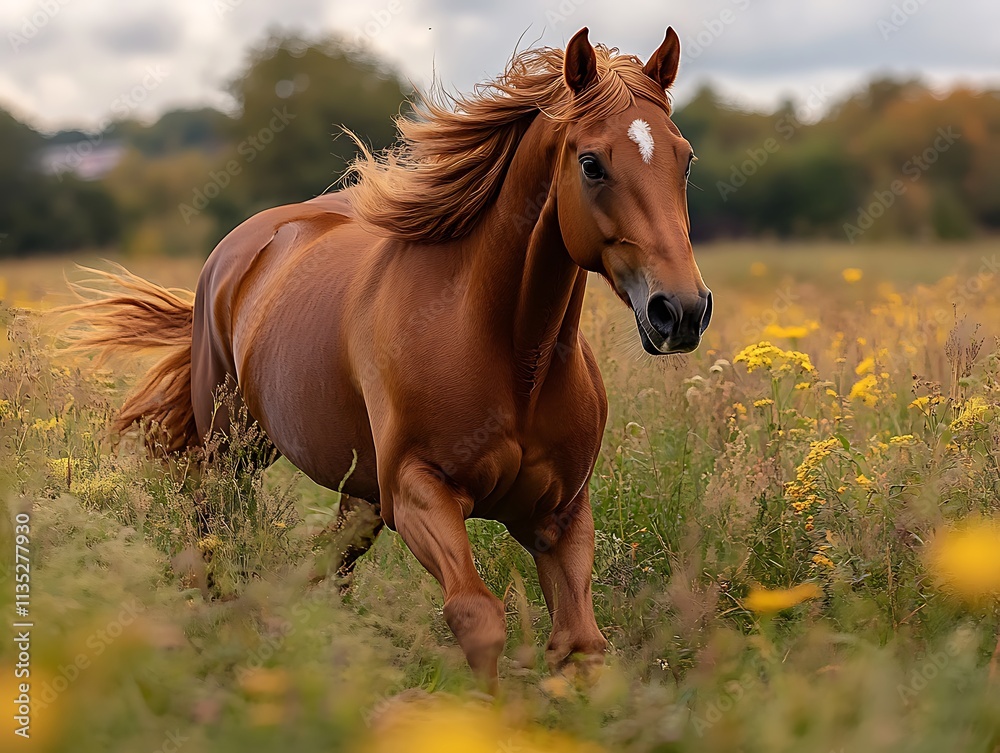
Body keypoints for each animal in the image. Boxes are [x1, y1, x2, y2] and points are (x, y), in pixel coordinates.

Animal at [68, 26, 711, 689]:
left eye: (684, 158)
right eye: (591, 164)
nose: (680, 311)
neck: (511, 357)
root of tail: (240, 249)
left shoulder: (558, 516)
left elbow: (580, 643)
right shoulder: (416, 492)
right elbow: (478, 616)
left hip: (355, 490)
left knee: (326, 561)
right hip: (233, 453)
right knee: (215, 540)